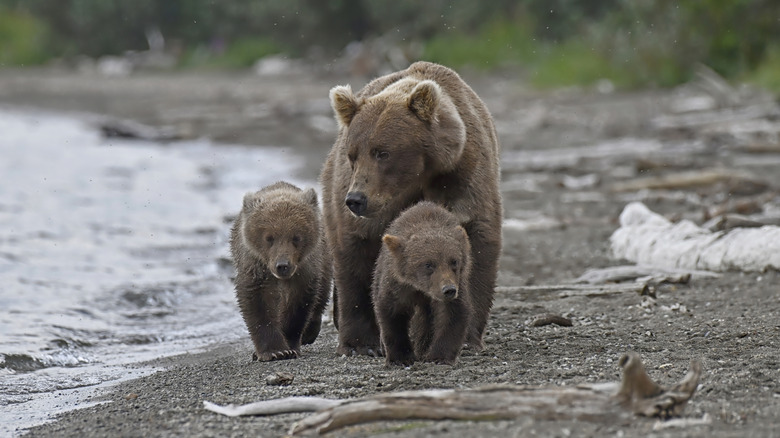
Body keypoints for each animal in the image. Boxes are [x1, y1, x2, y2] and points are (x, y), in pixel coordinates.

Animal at [229, 181, 331, 361]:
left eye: (296, 237)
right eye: (269, 238)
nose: (282, 265)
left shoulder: (306, 269)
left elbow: (298, 304)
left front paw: (290, 346)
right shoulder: (255, 267)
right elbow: (257, 302)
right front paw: (275, 351)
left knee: (323, 291)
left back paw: (309, 332)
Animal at [372, 201, 472, 366]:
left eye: (454, 261)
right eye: (428, 264)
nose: (448, 289)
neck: (421, 288)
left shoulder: (457, 285)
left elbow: (452, 314)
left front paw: (439, 356)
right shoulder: (398, 286)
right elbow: (392, 313)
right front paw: (401, 357)